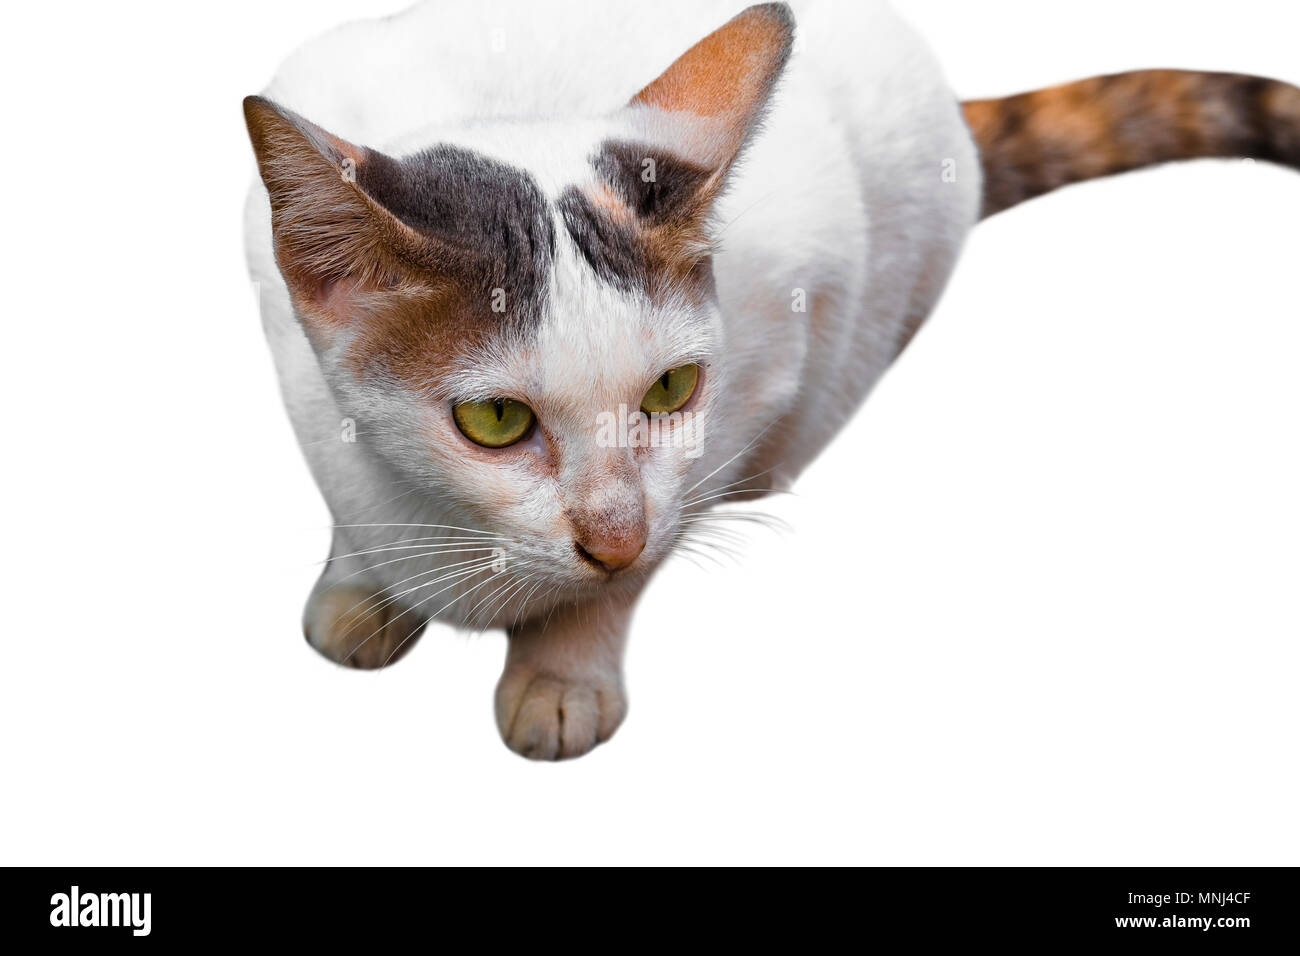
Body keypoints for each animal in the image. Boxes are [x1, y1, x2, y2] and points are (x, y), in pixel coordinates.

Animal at [245, 1, 1300, 764]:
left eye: (672, 391)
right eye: (497, 419)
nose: (614, 540)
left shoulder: (771, 359)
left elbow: (653, 543)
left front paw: (566, 664)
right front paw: (361, 583)